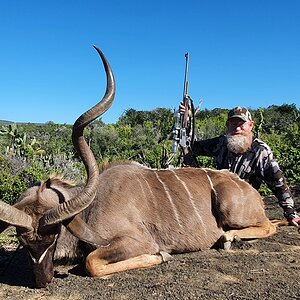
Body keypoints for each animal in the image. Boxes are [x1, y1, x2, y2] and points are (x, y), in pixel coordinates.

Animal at [0, 45, 276, 288]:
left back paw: (229, 238)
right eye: (23, 242)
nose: (43, 281)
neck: (90, 207)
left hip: (230, 209)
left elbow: (92, 262)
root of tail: (250, 191)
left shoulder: (137, 240)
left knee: (269, 225)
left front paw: (162, 255)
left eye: (54, 235)